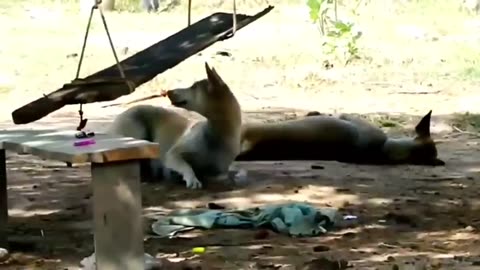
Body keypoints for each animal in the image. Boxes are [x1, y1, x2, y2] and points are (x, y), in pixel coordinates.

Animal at [109, 62, 244, 190]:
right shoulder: (173, 155)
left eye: (193, 87)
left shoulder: (220, 171)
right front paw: (192, 178)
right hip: (136, 129)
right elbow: (185, 165)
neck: (218, 131)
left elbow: (220, 175)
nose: (168, 92)